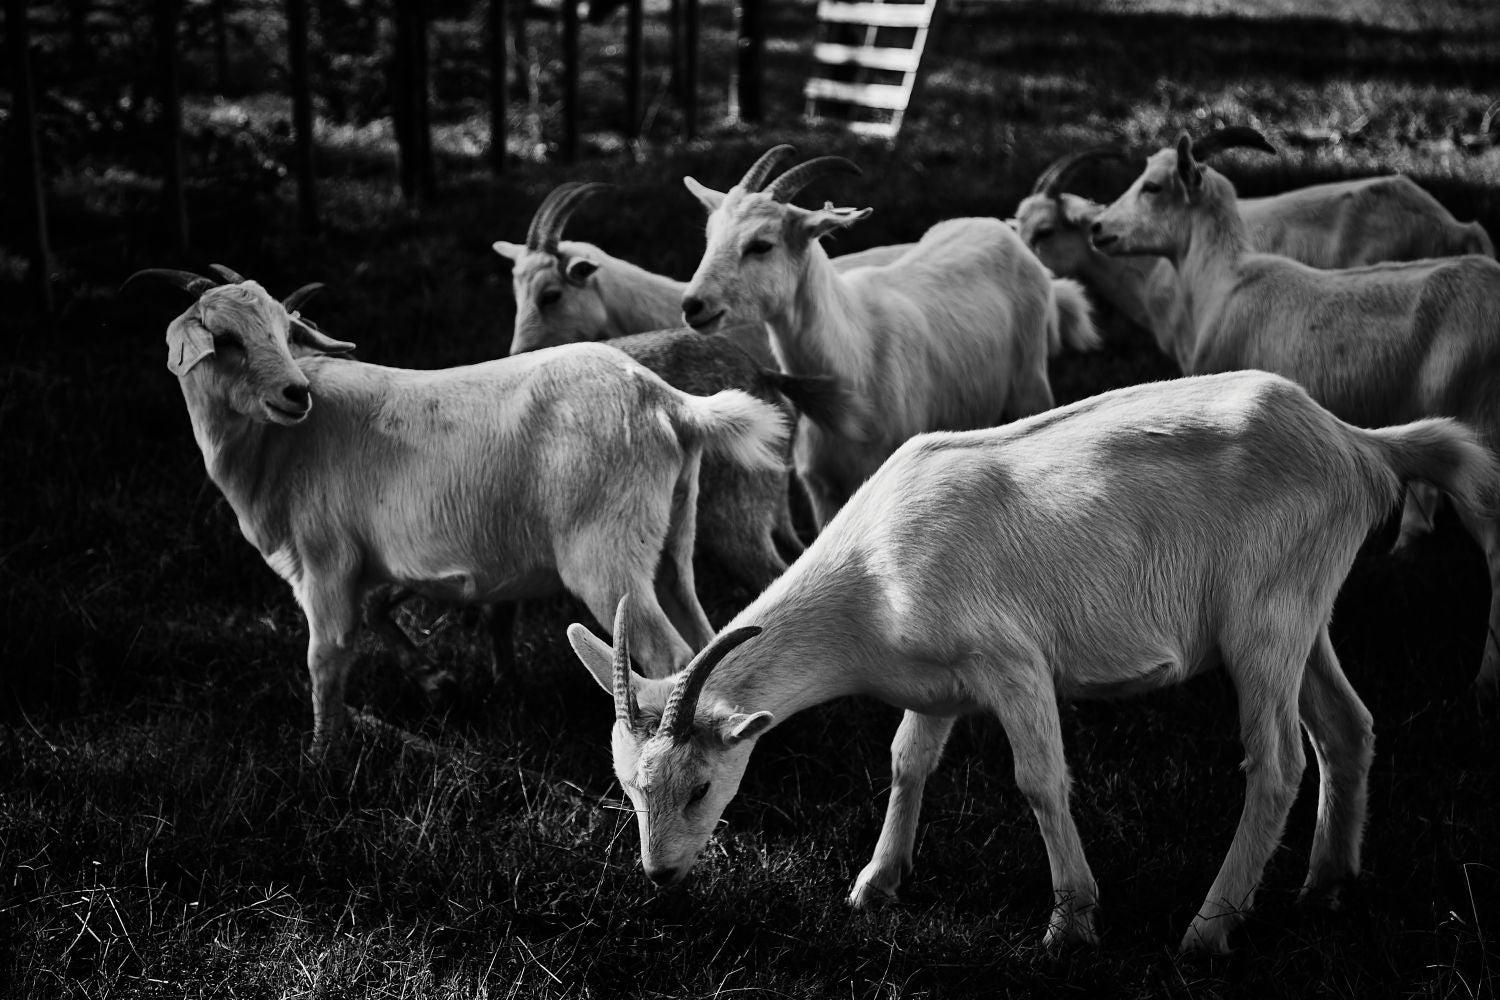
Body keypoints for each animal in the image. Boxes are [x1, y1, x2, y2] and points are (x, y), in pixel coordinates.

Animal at [128, 267, 789, 755]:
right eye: (227, 340)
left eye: (282, 332)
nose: (295, 392)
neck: (281, 448)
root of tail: (668, 402)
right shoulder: (376, 563)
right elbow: (377, 614)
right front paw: (435, 681)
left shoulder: (326, 562)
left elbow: (326, 658)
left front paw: (321, 759)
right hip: (673, 541)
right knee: (706, 638)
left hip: (608, 557)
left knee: (670, 656)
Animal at [568, 370, 1495, 954]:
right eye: (627, 789)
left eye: (700, 786)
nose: (660, 873)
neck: (871, 582)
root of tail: (1360, 445)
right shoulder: (935, 681)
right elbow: (906, 761)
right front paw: (875, 886)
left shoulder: (1011, 661)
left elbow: (1040, 780)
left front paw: (1072, 923)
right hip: (1306, 611)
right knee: (1348, 727)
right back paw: (1325, 885)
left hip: (1262, 622)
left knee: (1278, 763)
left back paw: (1208, 928)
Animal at [679, 146, 1102, 527]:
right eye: (710, 236)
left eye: (761, 245)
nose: (693, 305)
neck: (853, 361)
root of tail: (1005, 233)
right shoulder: (821, 490)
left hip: (1031, 384)